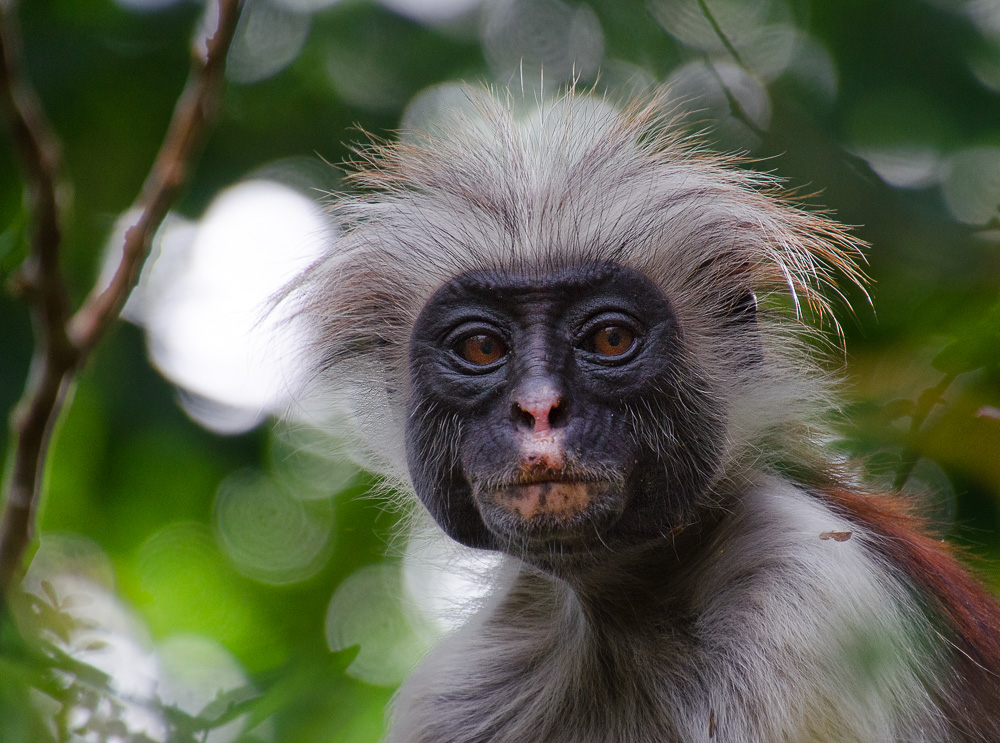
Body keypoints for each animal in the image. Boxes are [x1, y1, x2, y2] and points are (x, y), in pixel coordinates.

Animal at [288, 91, 1000, 743]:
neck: (621, 616)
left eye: (610, 339)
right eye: (482, 348)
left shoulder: (807, 599)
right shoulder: (460, 691)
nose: (540, 410)